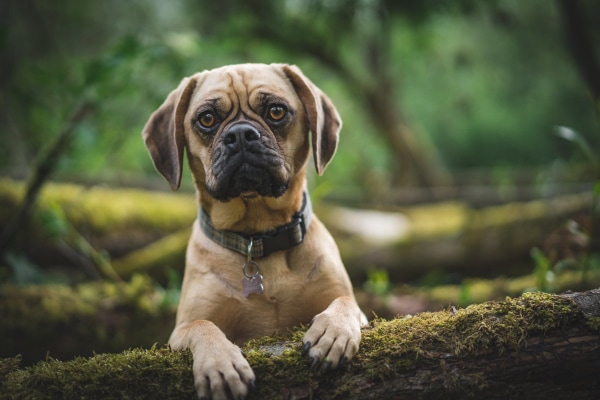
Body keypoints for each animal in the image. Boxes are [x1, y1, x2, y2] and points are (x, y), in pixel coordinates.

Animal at [142, 63, 364, 400]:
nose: (240, 135)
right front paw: (221, 363)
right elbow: (203, 326)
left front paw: (333, 331)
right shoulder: (181, 330)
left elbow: (345, 303)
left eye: (276, 111)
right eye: (207, 118)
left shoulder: (353, 305)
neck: (257, 237)